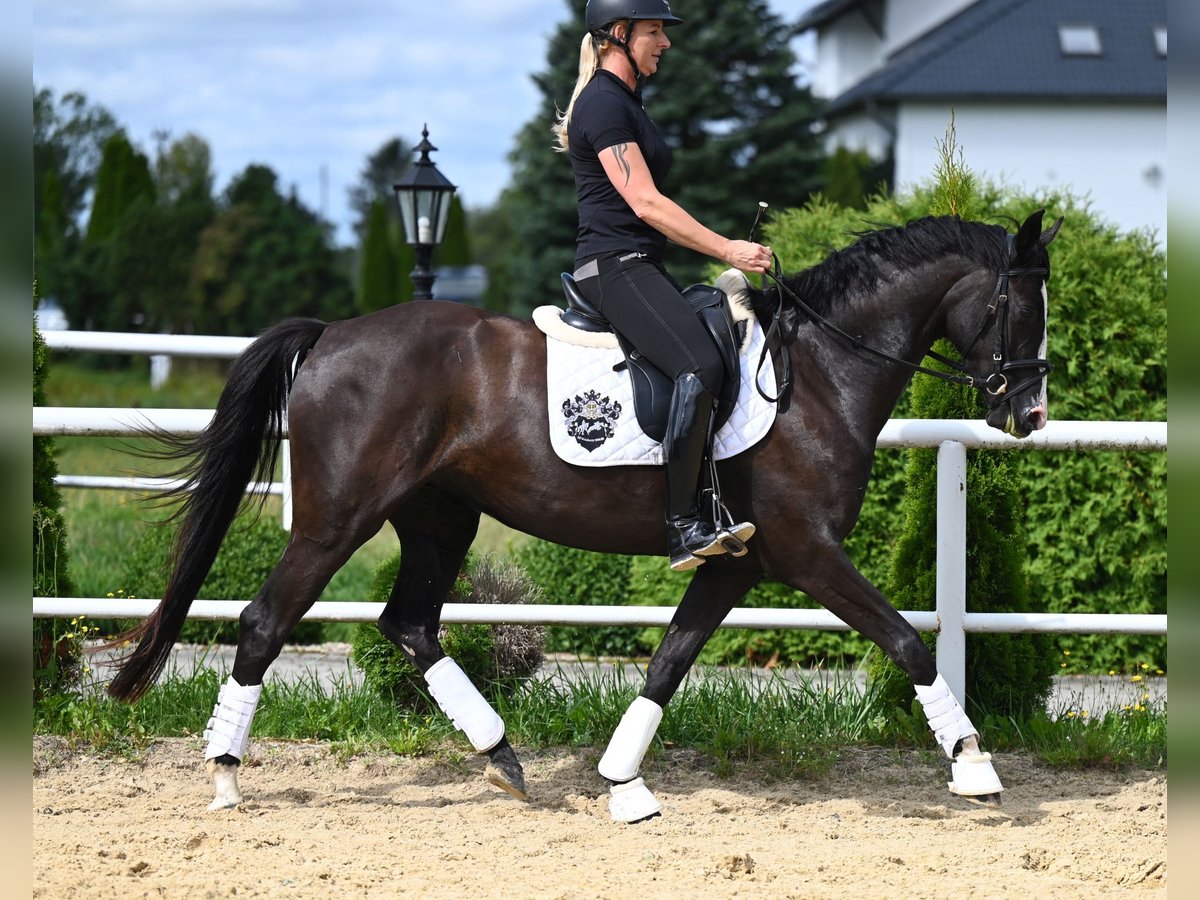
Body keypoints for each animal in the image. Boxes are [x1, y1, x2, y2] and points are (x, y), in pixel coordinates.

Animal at [103, 206, 1060, 825]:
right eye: (1021, 305)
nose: (1031, 414)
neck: (816, 373)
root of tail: (334, 333)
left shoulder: (736, 563)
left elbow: (668, 665)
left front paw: (622, 784)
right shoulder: (805, 553)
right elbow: (906, 641)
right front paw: (974, 767)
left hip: (440, 518)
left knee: (409, 623)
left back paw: (502, 759)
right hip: (339, 520)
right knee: (267, 620)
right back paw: (225, 778)